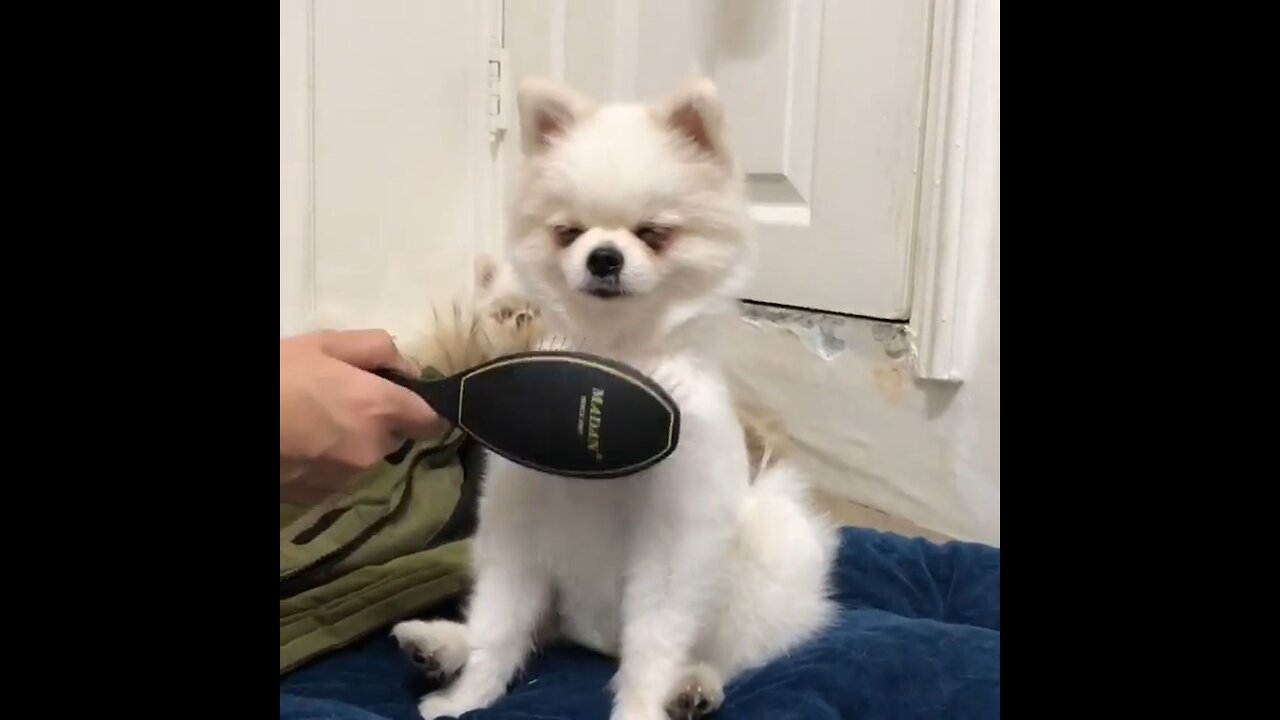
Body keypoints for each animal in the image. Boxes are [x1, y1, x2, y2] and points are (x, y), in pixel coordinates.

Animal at [394, 75, 834, 717]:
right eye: (568, 233)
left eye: (653, 234)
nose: (604, 256)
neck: (614, 353)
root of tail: (598, 639)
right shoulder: (517, 525)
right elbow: (499, 625)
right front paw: (467, 698)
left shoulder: (674, 544)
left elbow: (653, 644)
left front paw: (643, 706)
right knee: (528, 626)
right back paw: (438, 645)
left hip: (768, 553)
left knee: (729, 649)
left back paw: (695, 686)